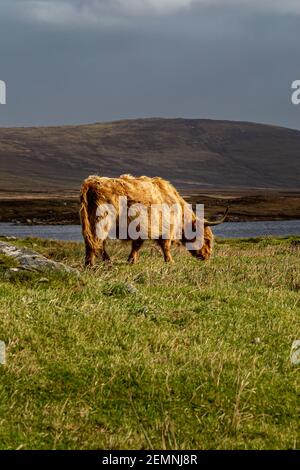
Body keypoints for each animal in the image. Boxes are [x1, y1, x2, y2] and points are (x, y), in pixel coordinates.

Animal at [79, 174, 227, 266]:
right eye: (206, 239)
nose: (207, 256)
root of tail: (91, 182)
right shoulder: (166, 229)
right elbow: (166, 246)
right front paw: (170, 262)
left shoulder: (142, 229)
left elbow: (136, 245)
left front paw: (132, 260)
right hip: (102, 220)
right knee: (97, 242)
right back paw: (94, 264)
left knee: (93, 242)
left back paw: (95, 263)